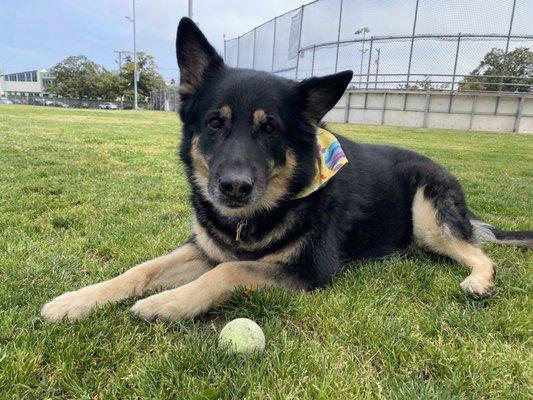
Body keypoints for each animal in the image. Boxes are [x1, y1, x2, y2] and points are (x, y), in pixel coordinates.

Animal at [40, 18, 528, 324]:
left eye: (270, 128)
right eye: (215, 122)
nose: (233, 188)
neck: (252, 220)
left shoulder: (309, 272)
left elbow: (229, 272)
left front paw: (169, 303)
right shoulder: (203, 249)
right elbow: (139, 270)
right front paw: (76, 301)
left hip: (428, 214)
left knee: (481, 253)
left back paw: (479, 280)